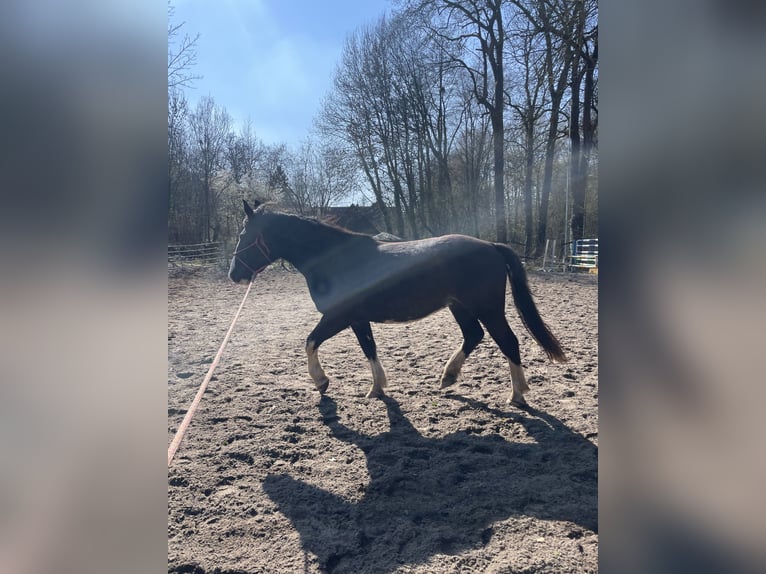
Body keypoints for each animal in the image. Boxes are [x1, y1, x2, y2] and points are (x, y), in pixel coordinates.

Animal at [228, 199, 566, 405]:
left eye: (244, 235)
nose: (234, 275)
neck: (335, 260)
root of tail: (491, 246)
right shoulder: (357, 319)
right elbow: (369, 349)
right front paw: (377, 388)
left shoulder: (338, 317)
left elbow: (310, 341)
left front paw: (321, 382)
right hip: (460, 306)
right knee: (474, 335)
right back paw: (448, 377)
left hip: (488, 308)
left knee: (508, 342)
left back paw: (517, 395)